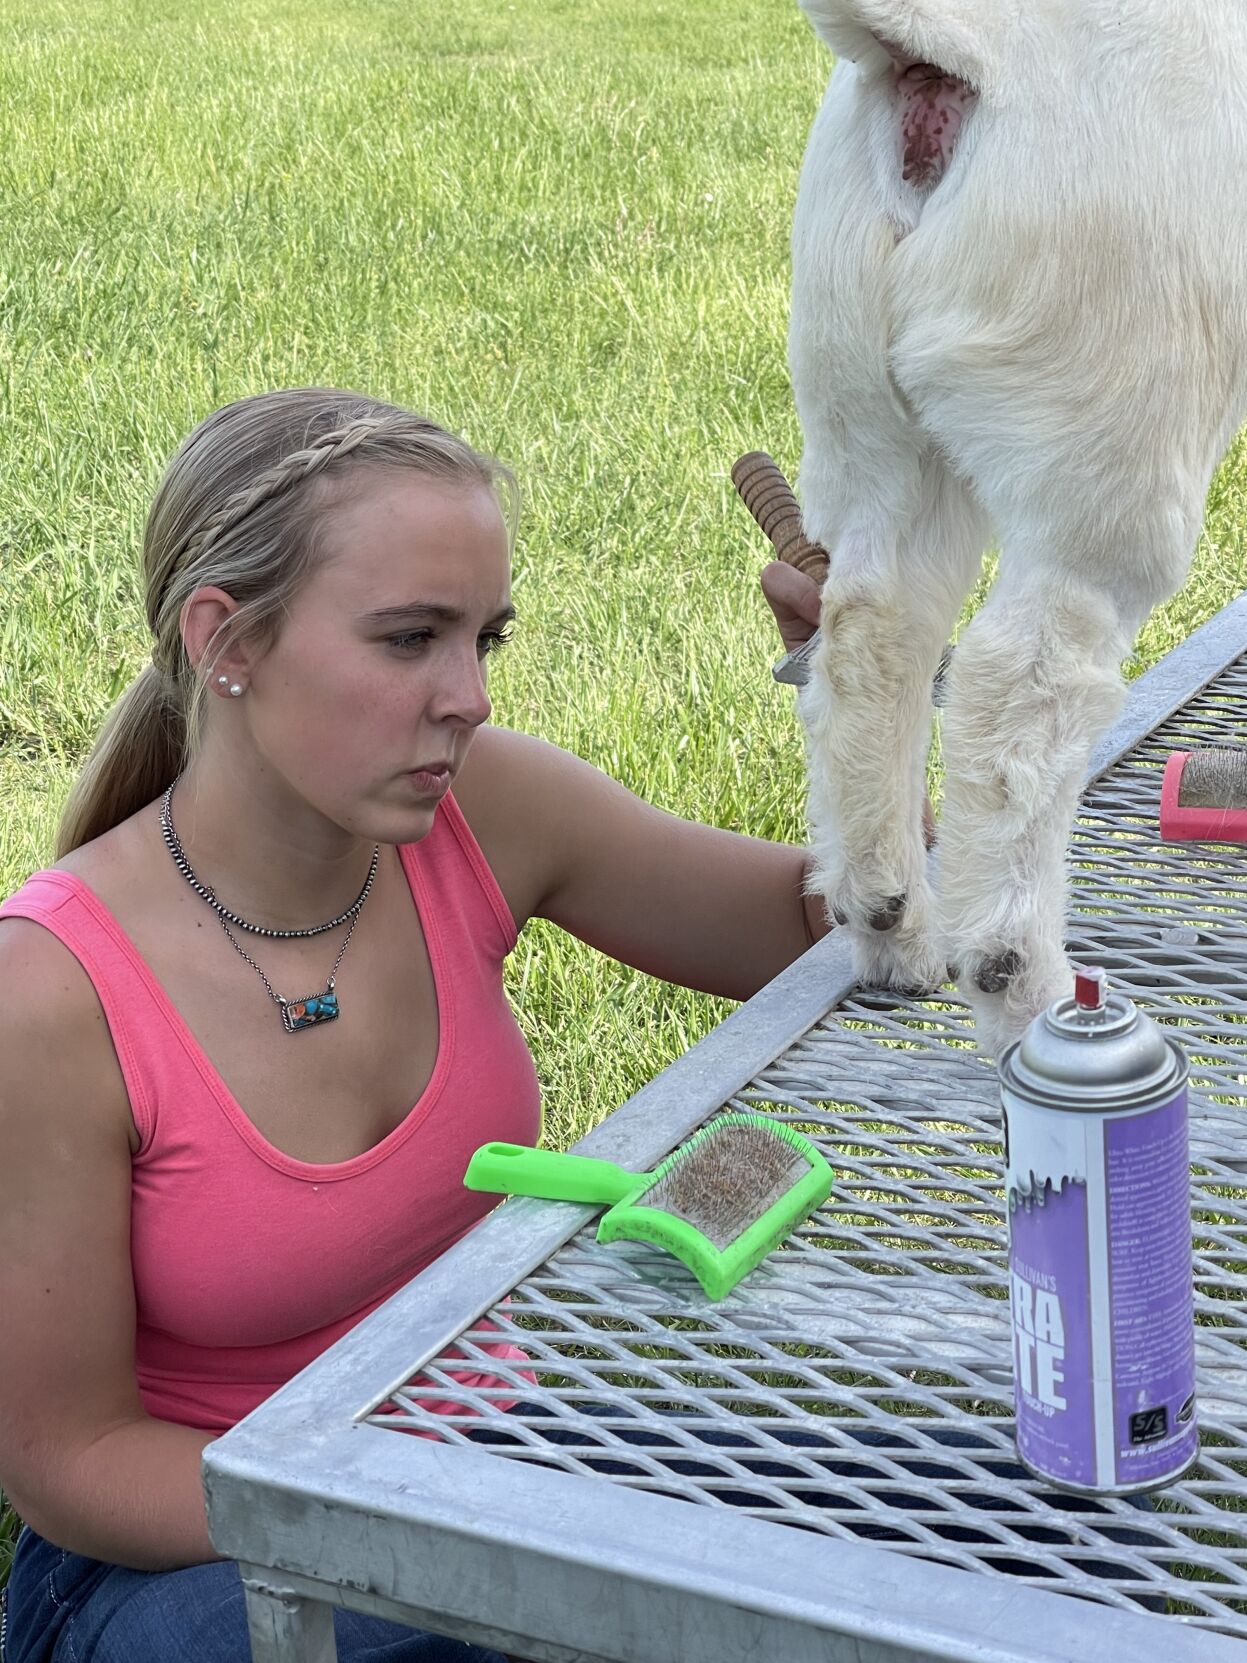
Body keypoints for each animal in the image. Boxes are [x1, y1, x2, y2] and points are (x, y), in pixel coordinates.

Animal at [790, 0, 1247, 1055]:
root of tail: (943, 52)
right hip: (1107, 423)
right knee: (1022, 687)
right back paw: (1021, 985)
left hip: (864, 406)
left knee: (873, 632)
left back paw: (890, 924)